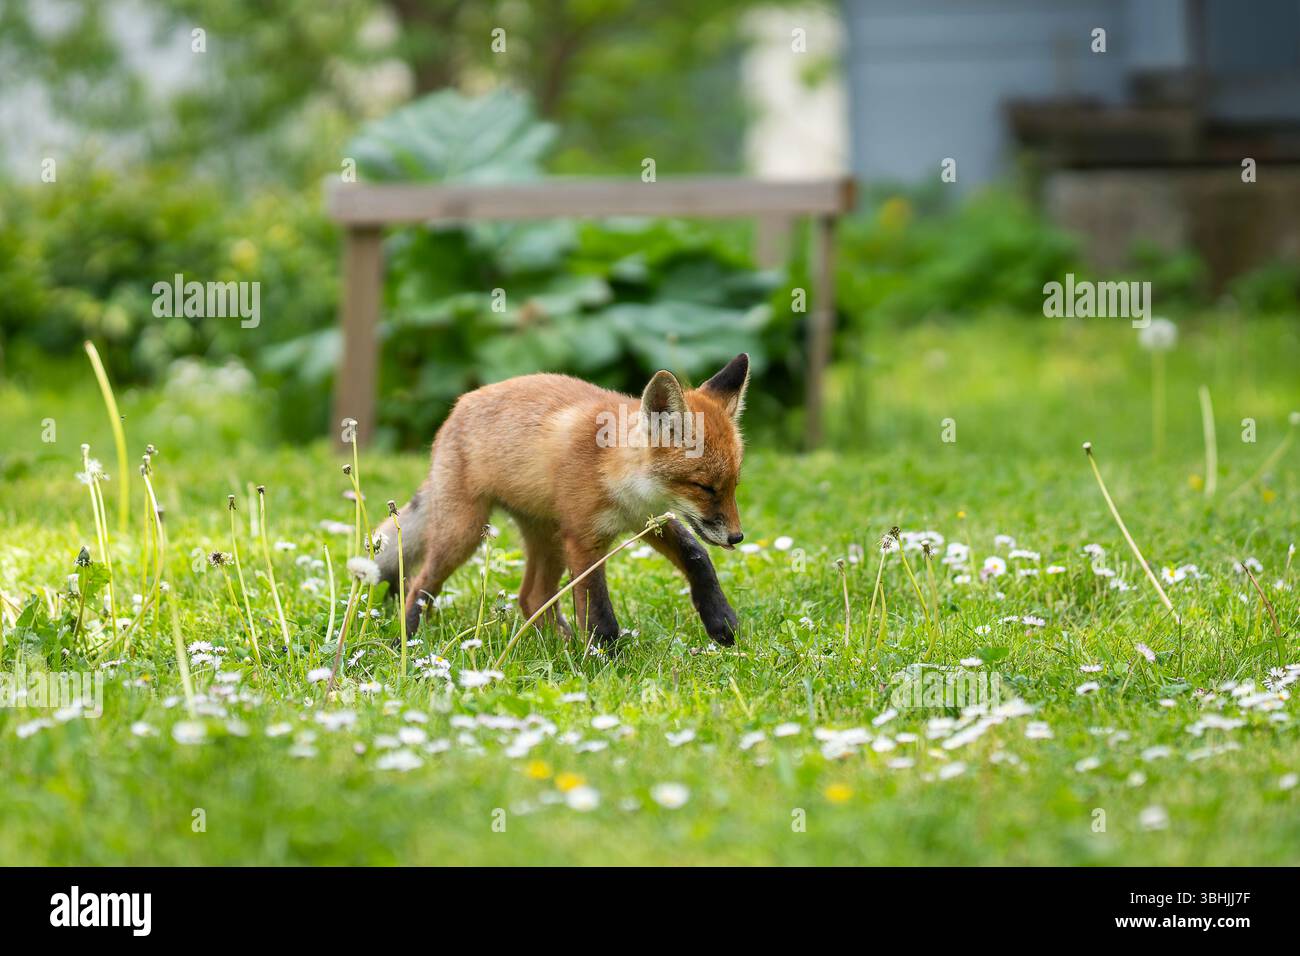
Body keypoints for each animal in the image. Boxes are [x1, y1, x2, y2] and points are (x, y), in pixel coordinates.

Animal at [374, 353, 752, 648]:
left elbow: (697, 556)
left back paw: (558, 644)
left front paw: (721, 622)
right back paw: (405, 642)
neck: (613, 472)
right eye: (704, 487)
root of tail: (458, 406)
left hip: (550, 538)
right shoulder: (583, 539)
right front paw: (606, 661)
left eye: (734, 484)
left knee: (531, 595)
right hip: (464, 533)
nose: (737, 537)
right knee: (419, 585)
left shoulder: (648, 521)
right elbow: (598, 612)